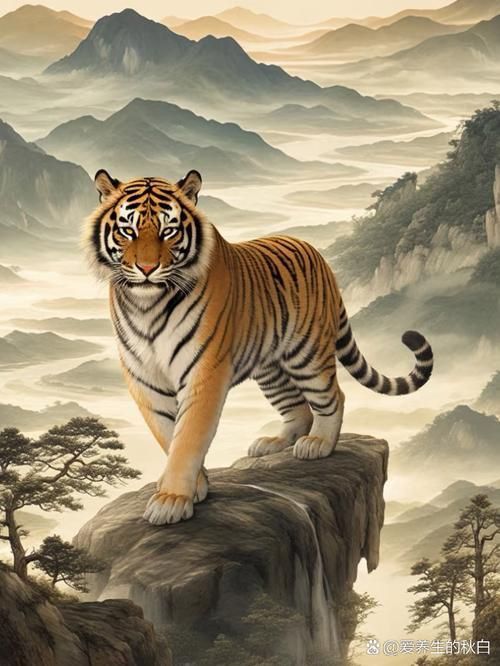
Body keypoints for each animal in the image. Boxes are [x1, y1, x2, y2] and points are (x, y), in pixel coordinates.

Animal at [86, 169, 434, 526]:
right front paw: (193, 488)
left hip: (307, 354)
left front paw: (171, 500)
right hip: (269, 368)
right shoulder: (145, 380)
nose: (146, 269)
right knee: (298, 408)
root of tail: (317, 254)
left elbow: (188, 439)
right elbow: (168, 435)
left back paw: (319, 443)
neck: (147, 305)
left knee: (332, 397)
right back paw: (272, 443)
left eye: (168, 231)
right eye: (127, 230)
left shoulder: (204, 374)